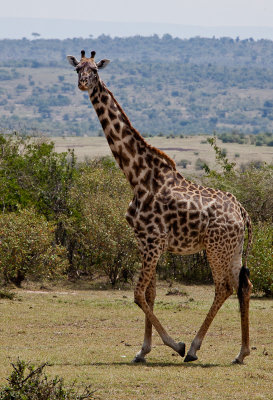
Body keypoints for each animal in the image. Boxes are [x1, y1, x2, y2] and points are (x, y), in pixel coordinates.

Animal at [67, 50, 252, 362]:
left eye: (95, 70)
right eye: (77, 68)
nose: (82, 83)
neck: (137, 176)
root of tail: (243, 213)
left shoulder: (154, 240)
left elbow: (138, 294)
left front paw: (174, 344)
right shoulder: (144, 241)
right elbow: (150, 294)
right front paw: (143, 350)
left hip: (216, 248)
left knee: (224, 287)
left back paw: (194, 347)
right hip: (233, 248)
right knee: (243, 286)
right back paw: (242, 352)